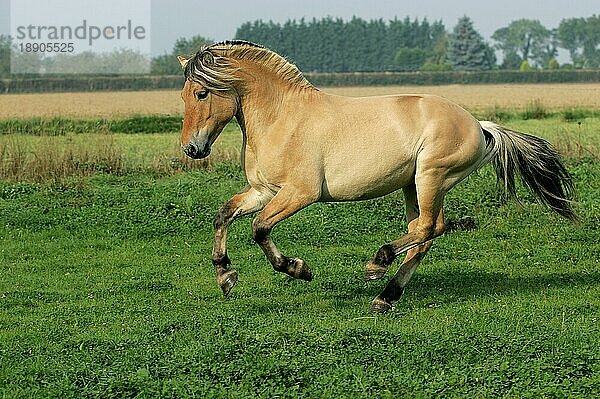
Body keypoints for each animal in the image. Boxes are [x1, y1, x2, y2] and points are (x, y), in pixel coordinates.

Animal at [175, 41, 576, 316]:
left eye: (201, 92)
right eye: (183, 94)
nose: (192, 149)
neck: (282, 118)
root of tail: (479, 126)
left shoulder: (300, 193)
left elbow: (259, 228)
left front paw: (298, 269)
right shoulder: (263, 190)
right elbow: (224, 215)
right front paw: (225, 276)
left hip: (431, 177)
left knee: (427, 229)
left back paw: (377, 265)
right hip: (413, 185)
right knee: (425, 235)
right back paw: (385, 297)